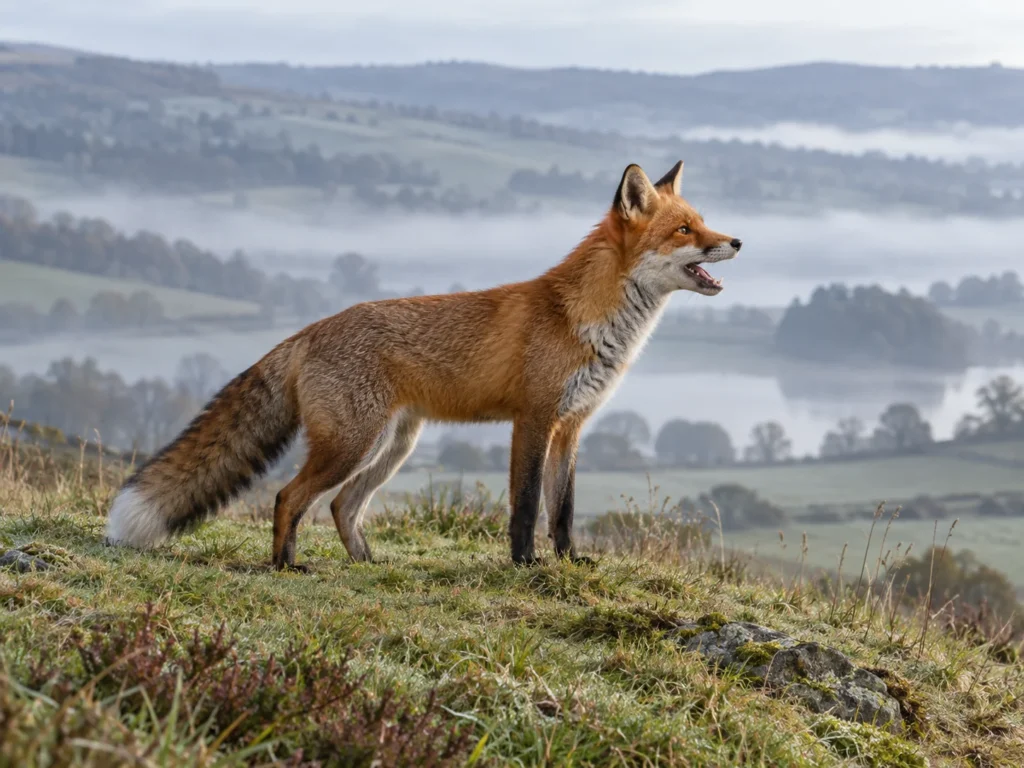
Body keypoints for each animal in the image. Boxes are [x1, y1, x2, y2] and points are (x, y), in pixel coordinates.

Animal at [105, 161, 742, 570]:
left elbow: (562, 509)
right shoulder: (533, 420)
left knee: (340, 506)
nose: (737, 242)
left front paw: (569, 562)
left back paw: (368, 565)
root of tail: (310, 330)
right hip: (351, 445)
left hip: (392, 446)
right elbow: (526, 505)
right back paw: (286, 567)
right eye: (684, 229)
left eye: (702, 221)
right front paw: (526, 566)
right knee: (290, 498)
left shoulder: (572, 427)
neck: (585, 321)